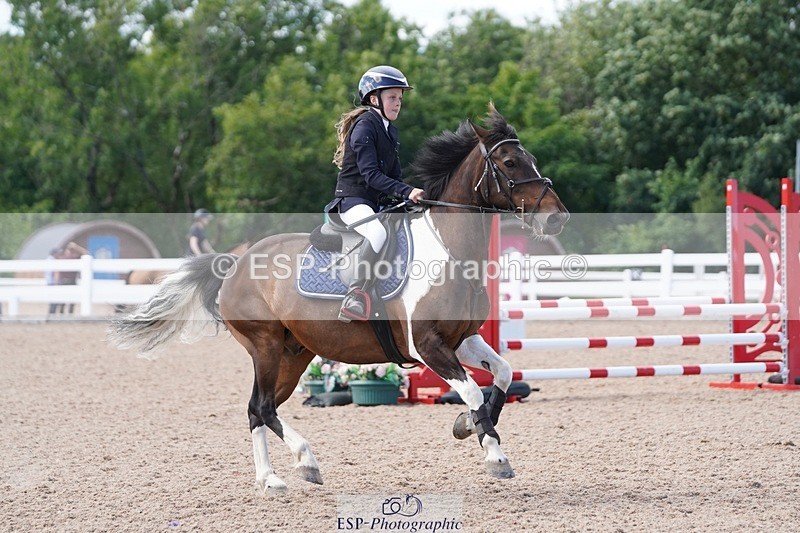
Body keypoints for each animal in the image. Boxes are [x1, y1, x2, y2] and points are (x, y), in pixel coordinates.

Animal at [109, 104, 569, 491]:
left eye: (530, 159)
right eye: (509, 163)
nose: (557, 218)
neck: (449, 249)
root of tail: (235, 262)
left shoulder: (464, 340)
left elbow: (502, 376)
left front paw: (467, 425)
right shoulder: (428, 346)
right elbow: (473, 392)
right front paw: (494, 455)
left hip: (294, 354)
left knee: (259, 408)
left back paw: (277, 475)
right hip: (265, 344)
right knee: (262, 406)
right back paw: (294, 467)